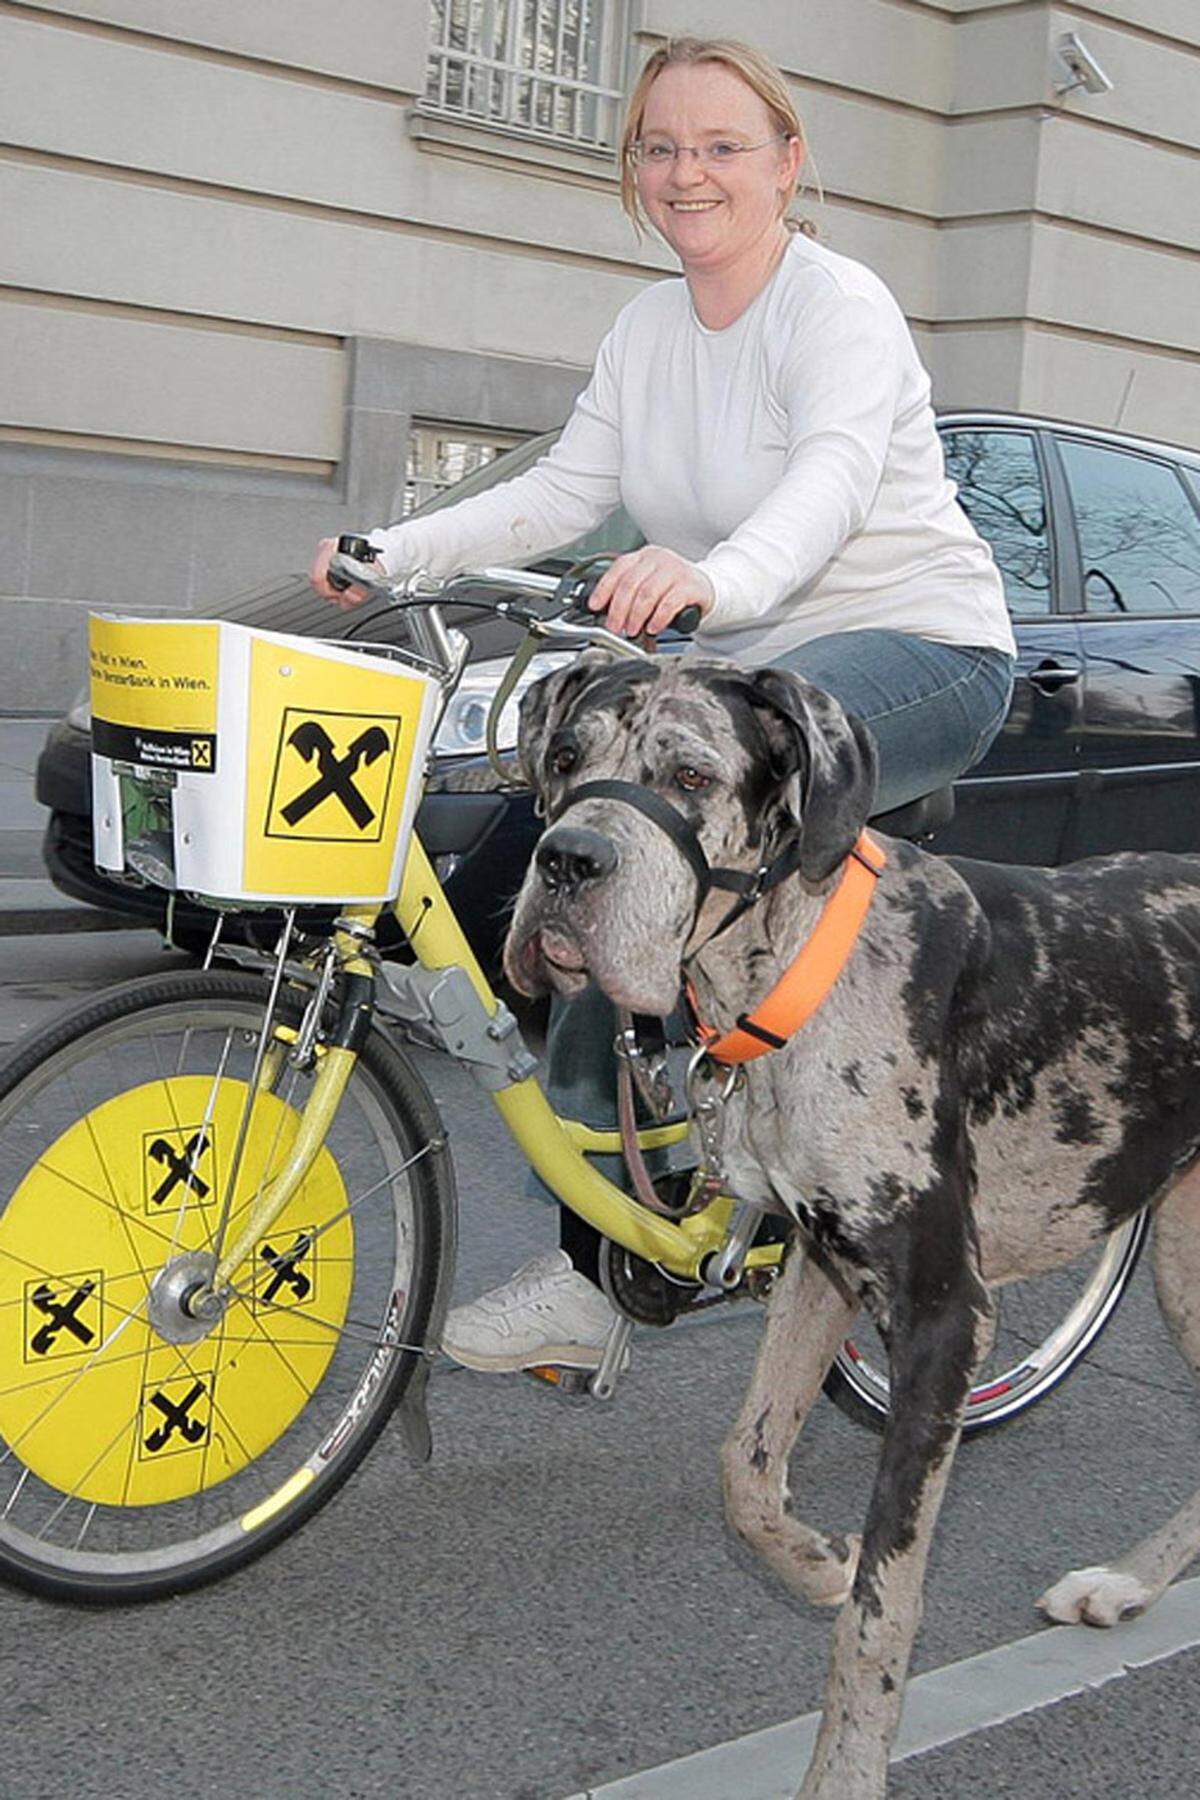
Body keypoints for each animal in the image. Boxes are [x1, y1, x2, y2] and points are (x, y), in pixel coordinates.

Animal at [503, 655, 1200, 1800]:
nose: (567, 858)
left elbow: (885, 1606)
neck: (793, 964)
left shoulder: (942, 1320)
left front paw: (847, 1768)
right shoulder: (820, 1271)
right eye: (563, 758)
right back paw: (1129, 1583)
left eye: (691, 776)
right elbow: (743, 1465)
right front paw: (812, 1562)